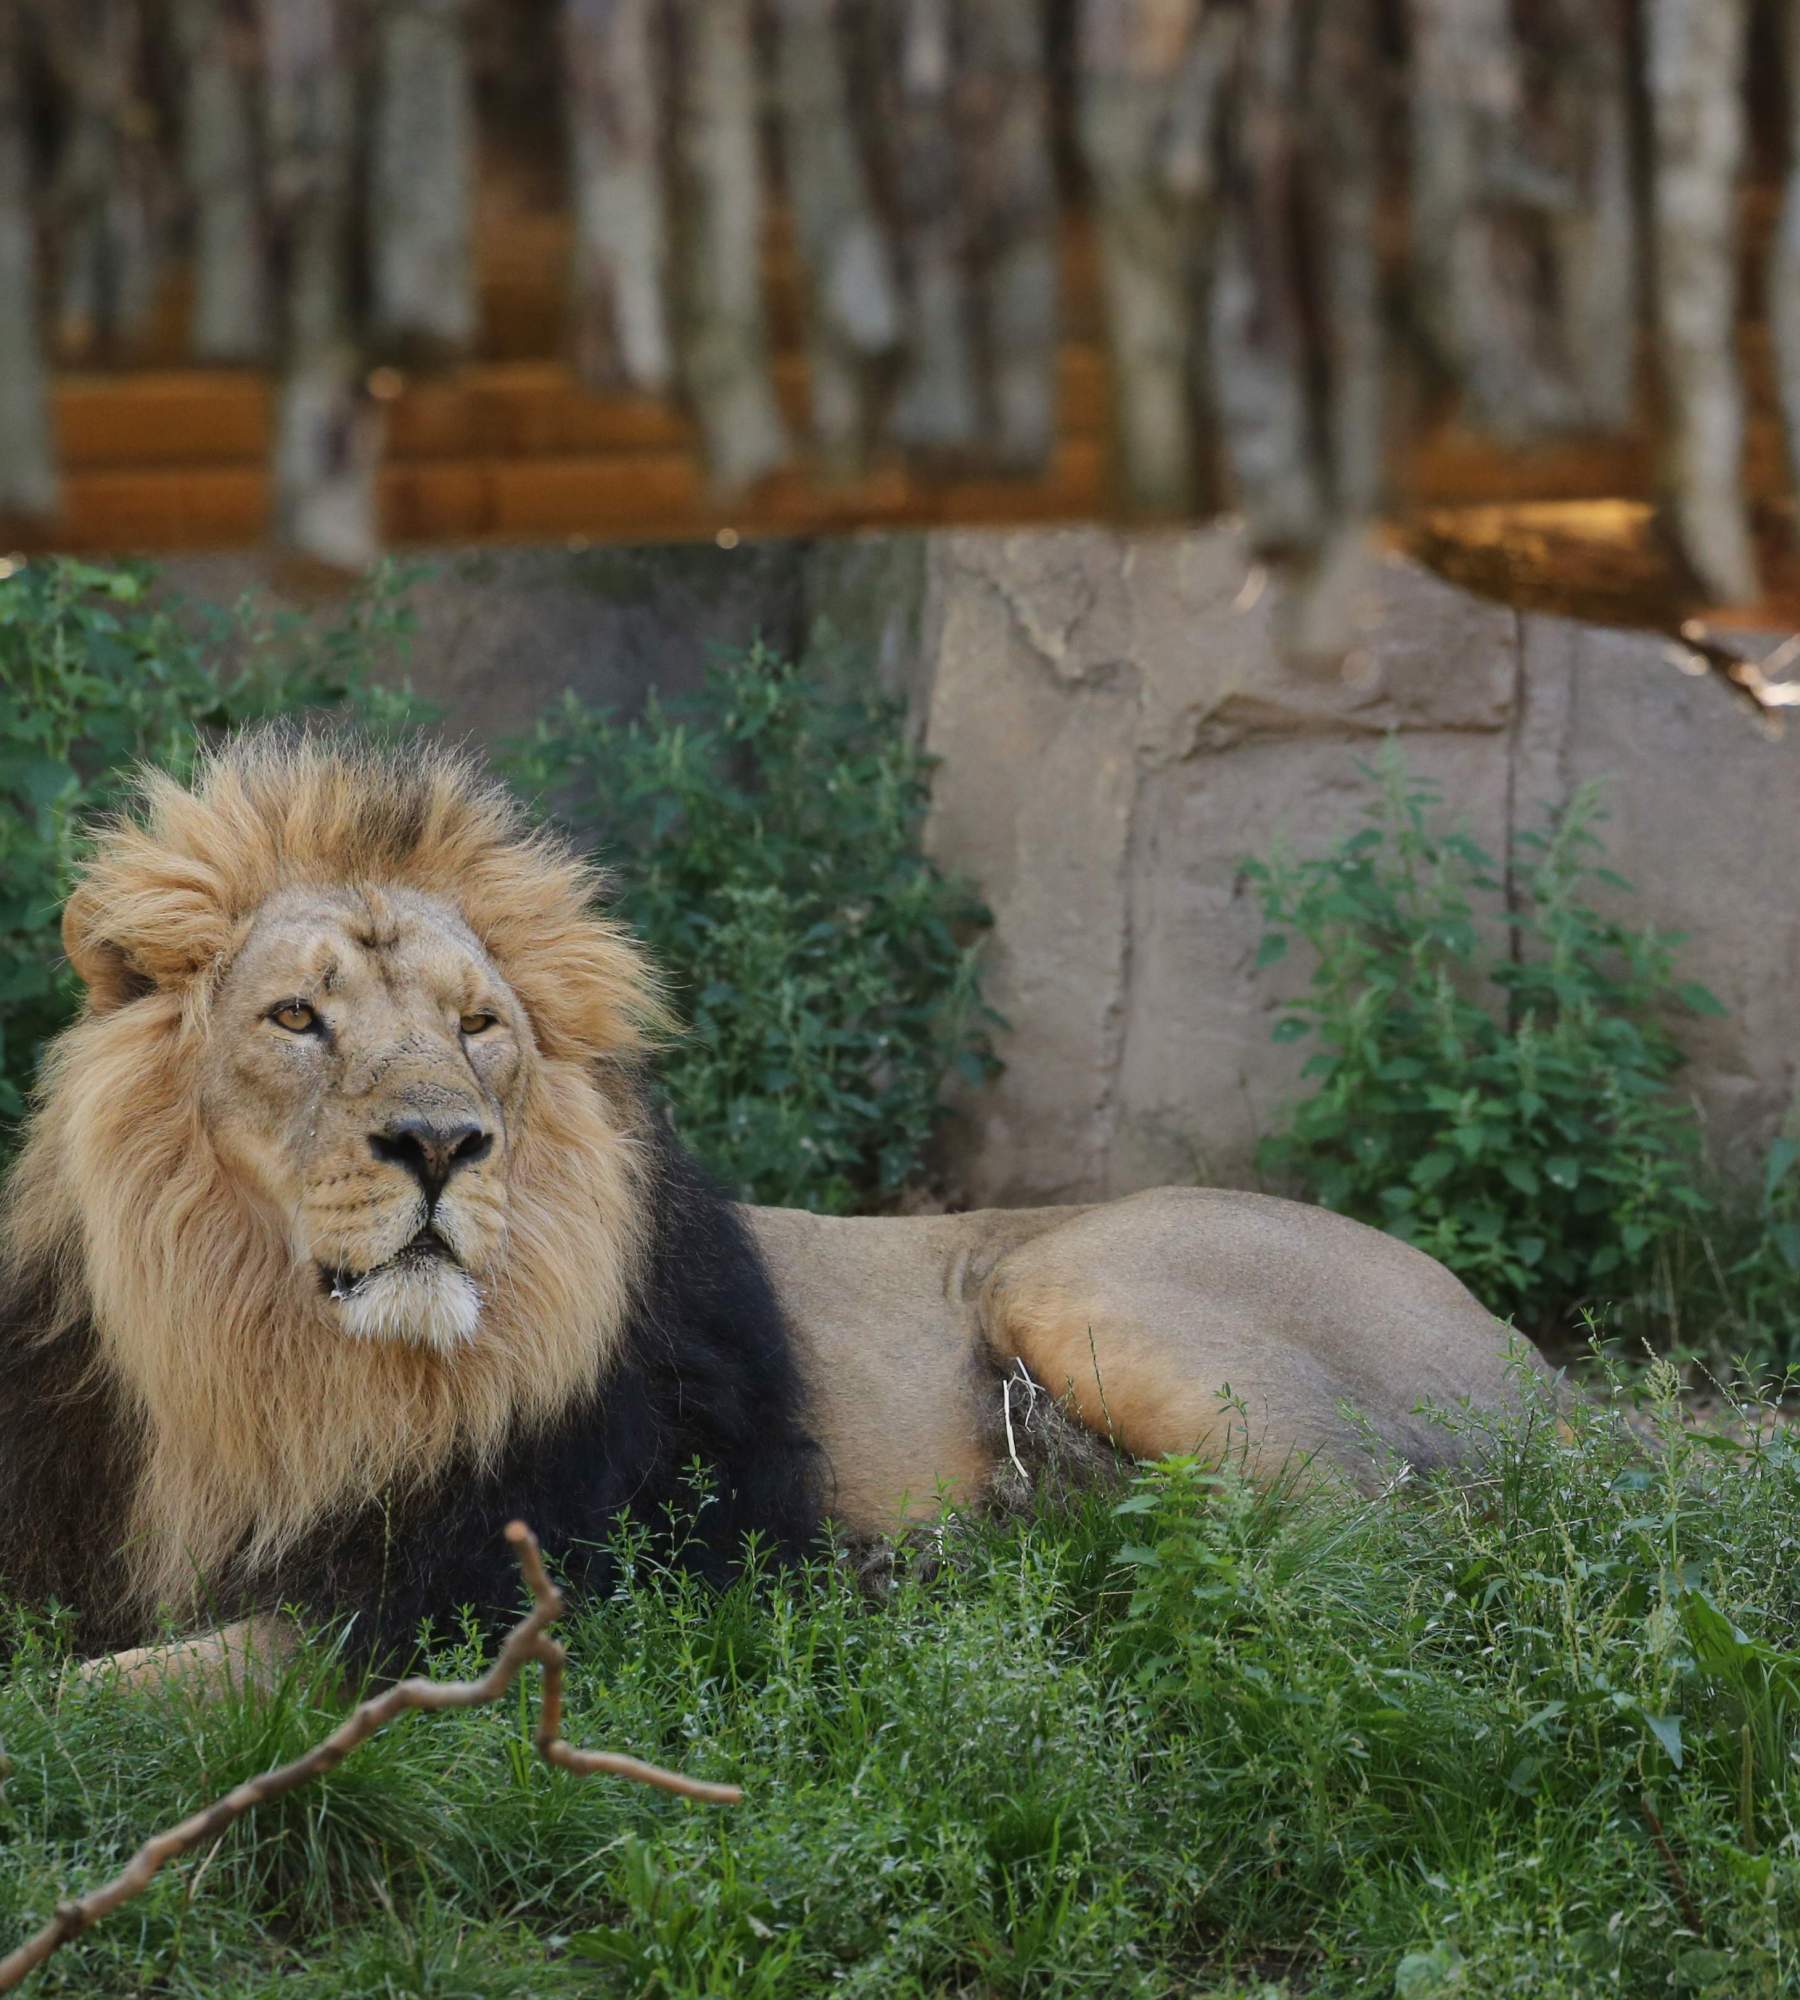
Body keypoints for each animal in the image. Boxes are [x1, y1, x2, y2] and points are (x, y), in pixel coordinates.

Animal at [0, 728, 1544, 1680]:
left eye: (478, 1025)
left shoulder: (469, 1601)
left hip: (1069, 1280)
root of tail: (1543, 1368)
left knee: (1393, 1561)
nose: (443, 1141)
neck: (262, 1357)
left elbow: (101, 1701)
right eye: (297, 1017)